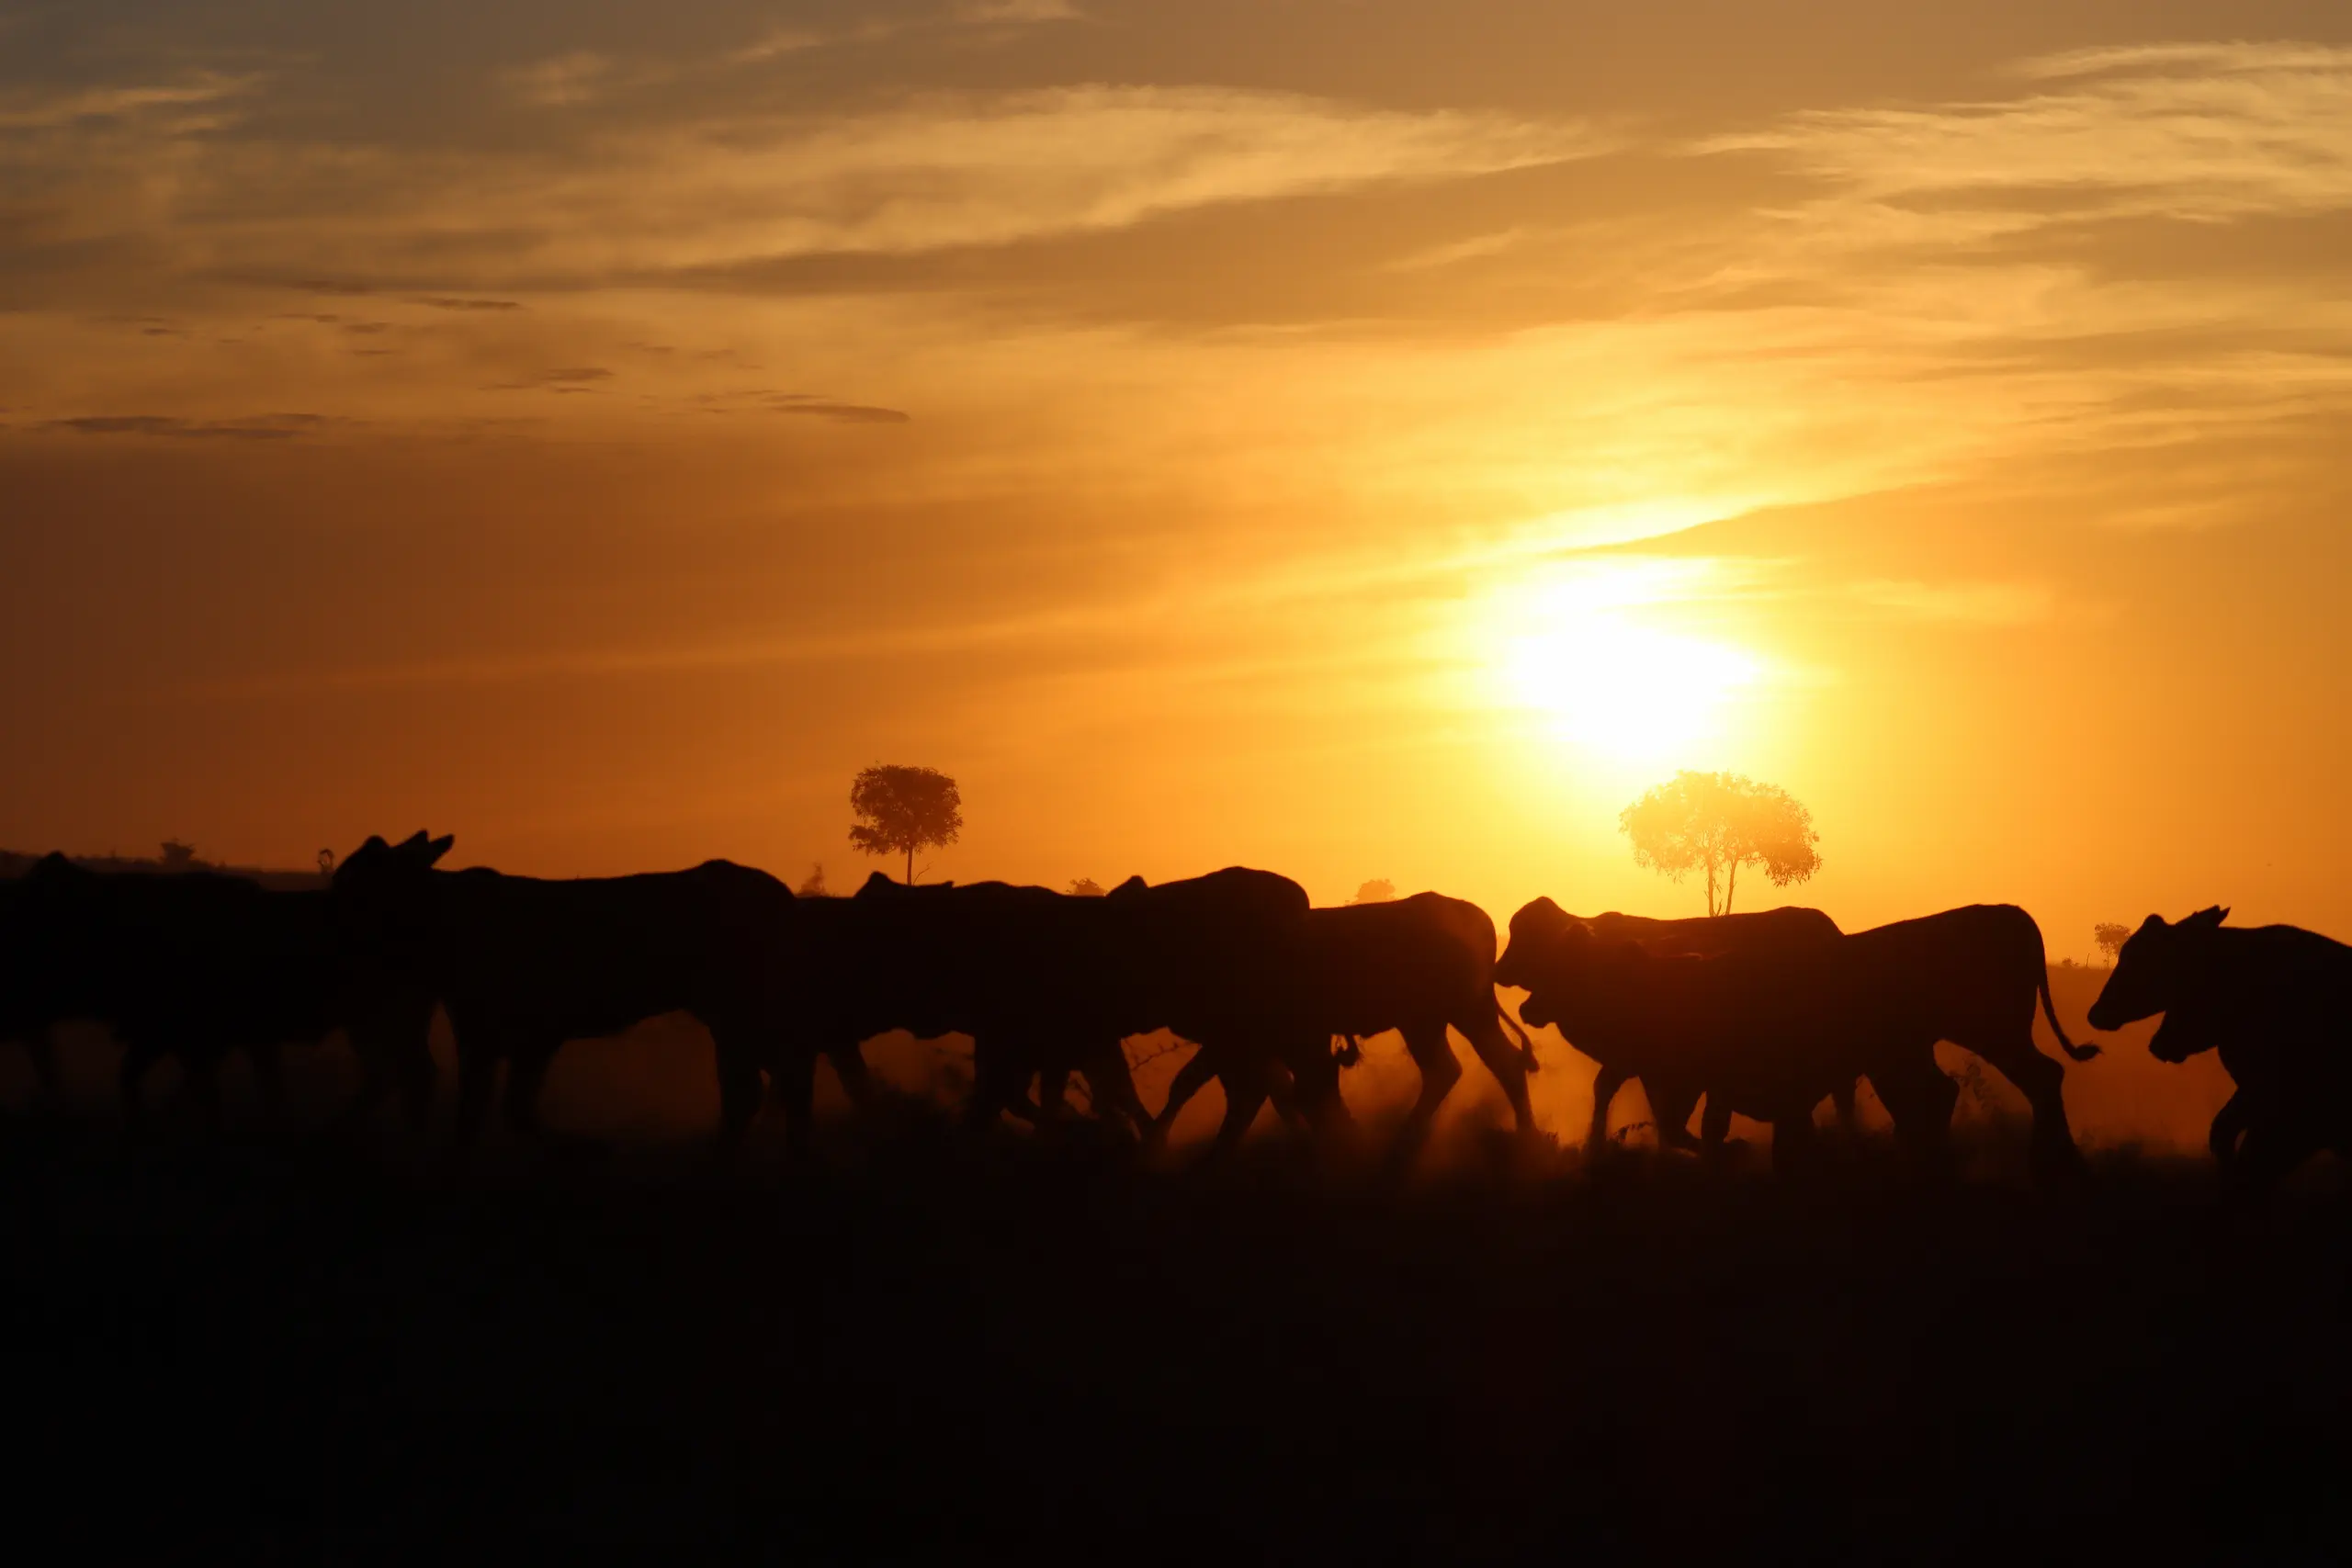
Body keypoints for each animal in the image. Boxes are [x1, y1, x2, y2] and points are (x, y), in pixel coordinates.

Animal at [1152, 891, 1541, 1158]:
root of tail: (1470, 915)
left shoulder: (1247, 1043)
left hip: (1456, 1014)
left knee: (1485, 1065)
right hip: (1434, 1020)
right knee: (1461, 1067)